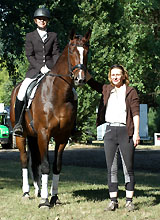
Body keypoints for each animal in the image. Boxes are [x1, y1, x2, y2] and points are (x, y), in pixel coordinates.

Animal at [10, 29, 92, 208]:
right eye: (72, 51)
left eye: (86, 52)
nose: (80, 79)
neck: (58, 93)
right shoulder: (44, 134)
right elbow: (46, 165)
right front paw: (44, 201)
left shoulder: (62, 137)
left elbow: (56, 166)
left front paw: (53, 196)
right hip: (22, 135)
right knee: (25, 160)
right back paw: (27, 193)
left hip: (33, 136)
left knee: (34, 162)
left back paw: (38, 190)